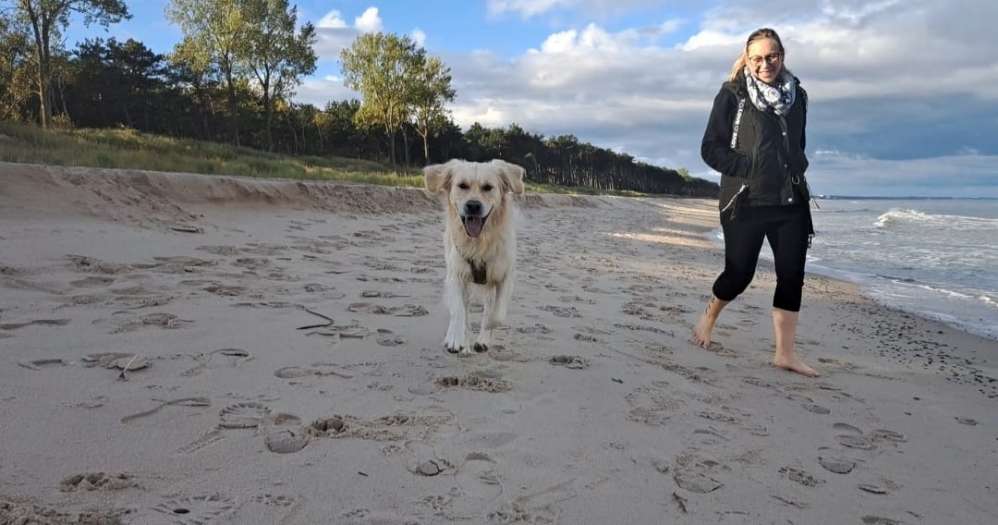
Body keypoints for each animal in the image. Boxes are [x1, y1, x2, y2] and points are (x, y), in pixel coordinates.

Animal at [424, 158, 528, 354]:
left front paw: (486, 329)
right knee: (461, 309)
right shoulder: (456, 275)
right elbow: (458, 311)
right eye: (462, 185)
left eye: (488, 187)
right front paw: (456, 340)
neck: (479, 242)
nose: (473, 205)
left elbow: (497, 314)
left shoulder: (505, 277)